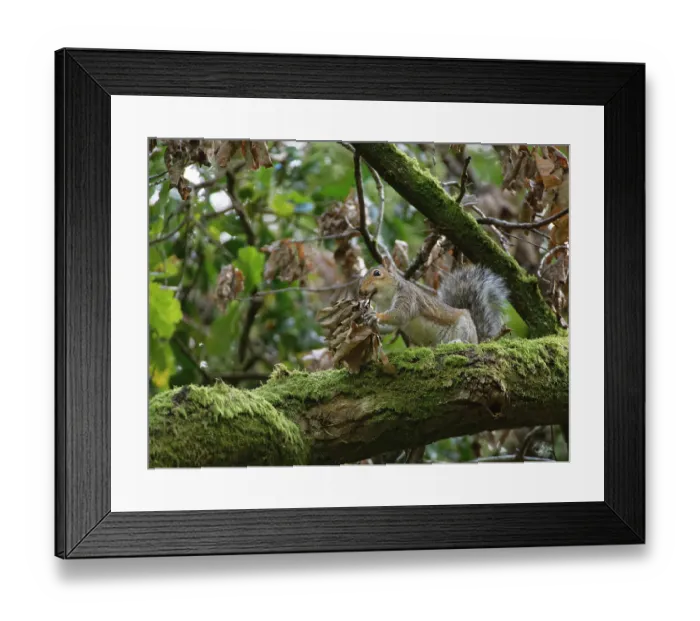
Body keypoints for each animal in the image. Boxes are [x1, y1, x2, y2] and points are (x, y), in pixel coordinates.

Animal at [358, 257, 509, 345]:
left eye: (377, 273)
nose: (361, 291)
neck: (387, 298)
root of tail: (478, 339)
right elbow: (390, 327)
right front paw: (368, 320)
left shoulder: (409, 297)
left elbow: (400, 315)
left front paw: (376, 316)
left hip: (464, 325)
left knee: (466, 342)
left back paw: (457, 342)